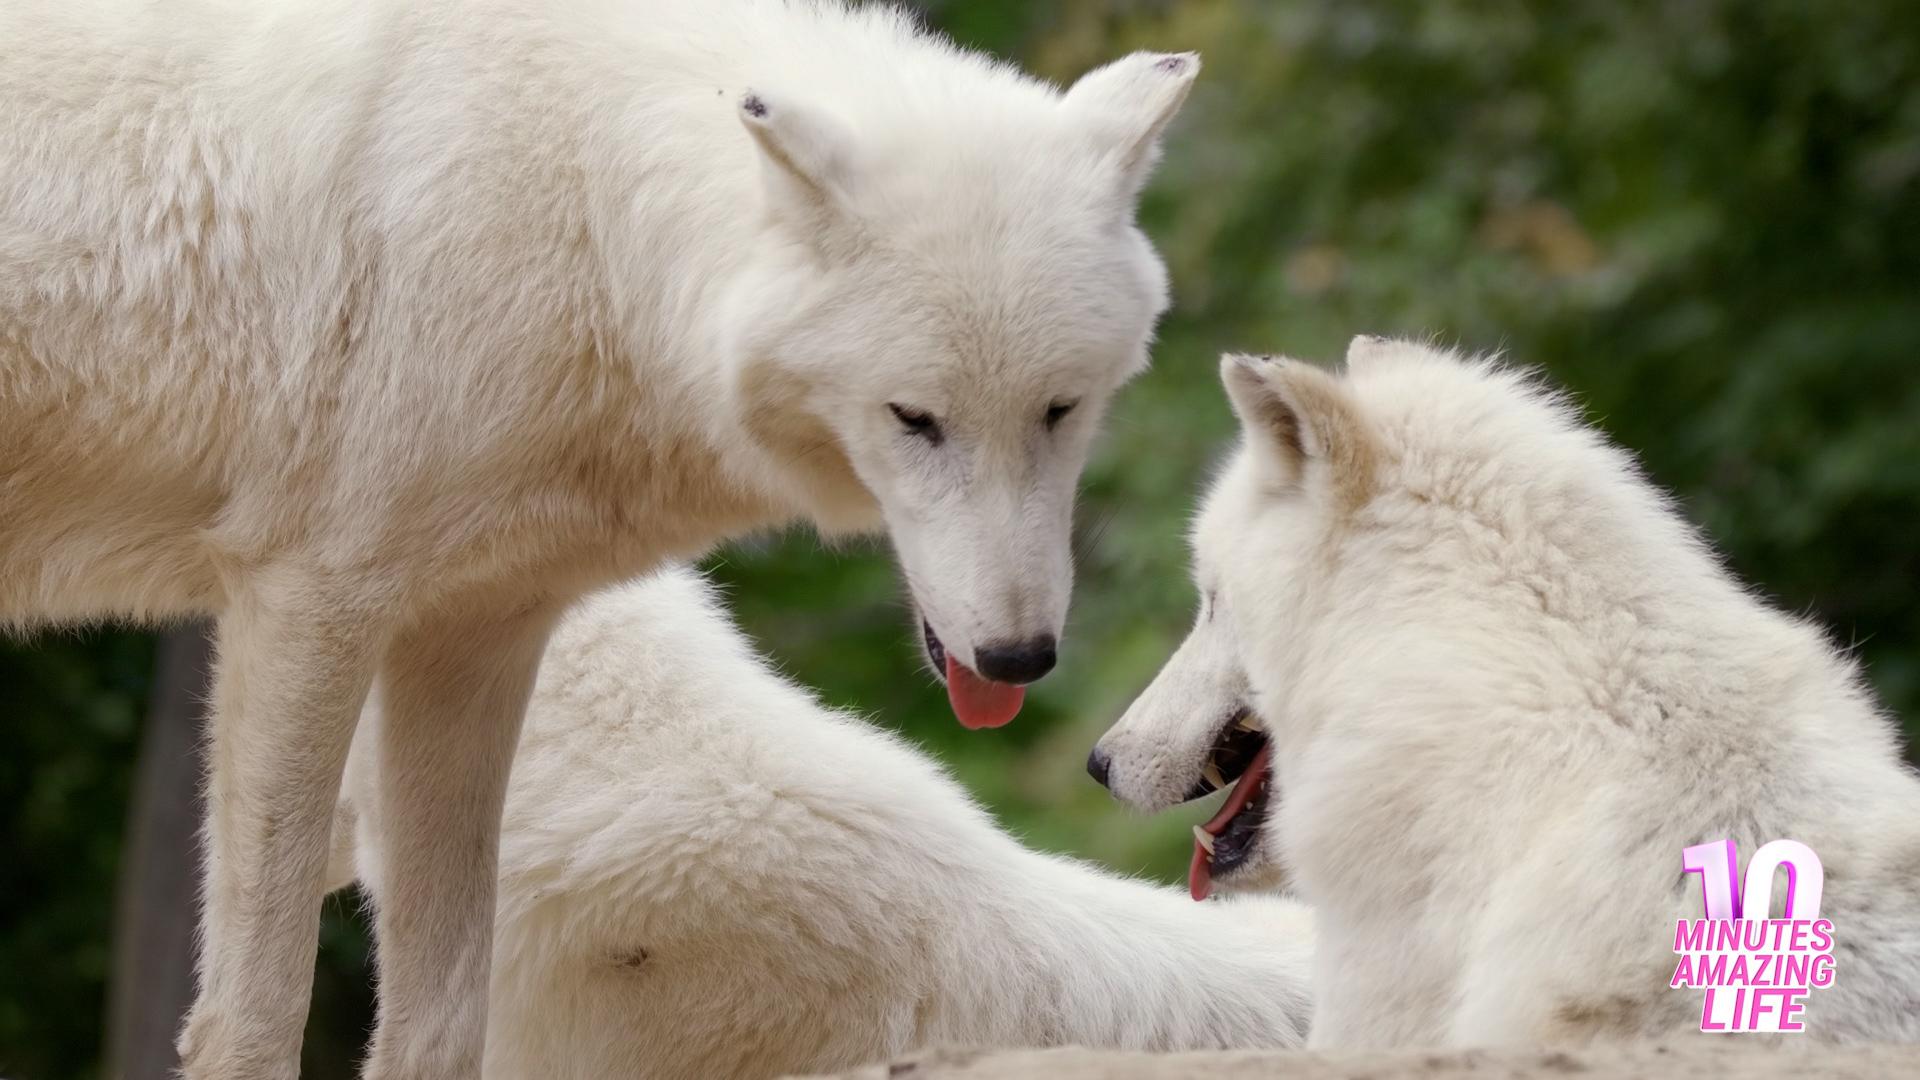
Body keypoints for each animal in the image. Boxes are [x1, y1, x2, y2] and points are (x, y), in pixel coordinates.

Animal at [0, 1, 1195, 1075]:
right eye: (915, 418)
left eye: (1060, 410)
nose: (1020, 659)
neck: (583, 210)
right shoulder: (306, 601)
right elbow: (254, 1019)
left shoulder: (471, 635)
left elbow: (443, 1022)